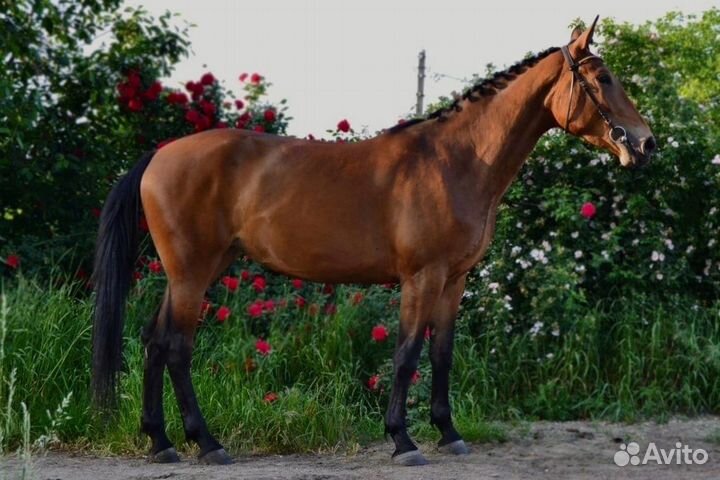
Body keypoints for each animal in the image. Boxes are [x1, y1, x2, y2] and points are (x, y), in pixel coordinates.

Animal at [92, 17, 654, 466]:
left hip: (193, 270)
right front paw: (403, 441)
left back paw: (161, 442)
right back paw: (207, 444)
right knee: (177, 348)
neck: (457, 160)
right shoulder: (421, 277)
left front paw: (449, 433)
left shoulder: (454, 280)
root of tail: (160, 155)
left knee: (154, 342)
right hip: (192, 272)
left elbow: (442, 354)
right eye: (603, 78)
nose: (645, 143)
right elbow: (406, 354)